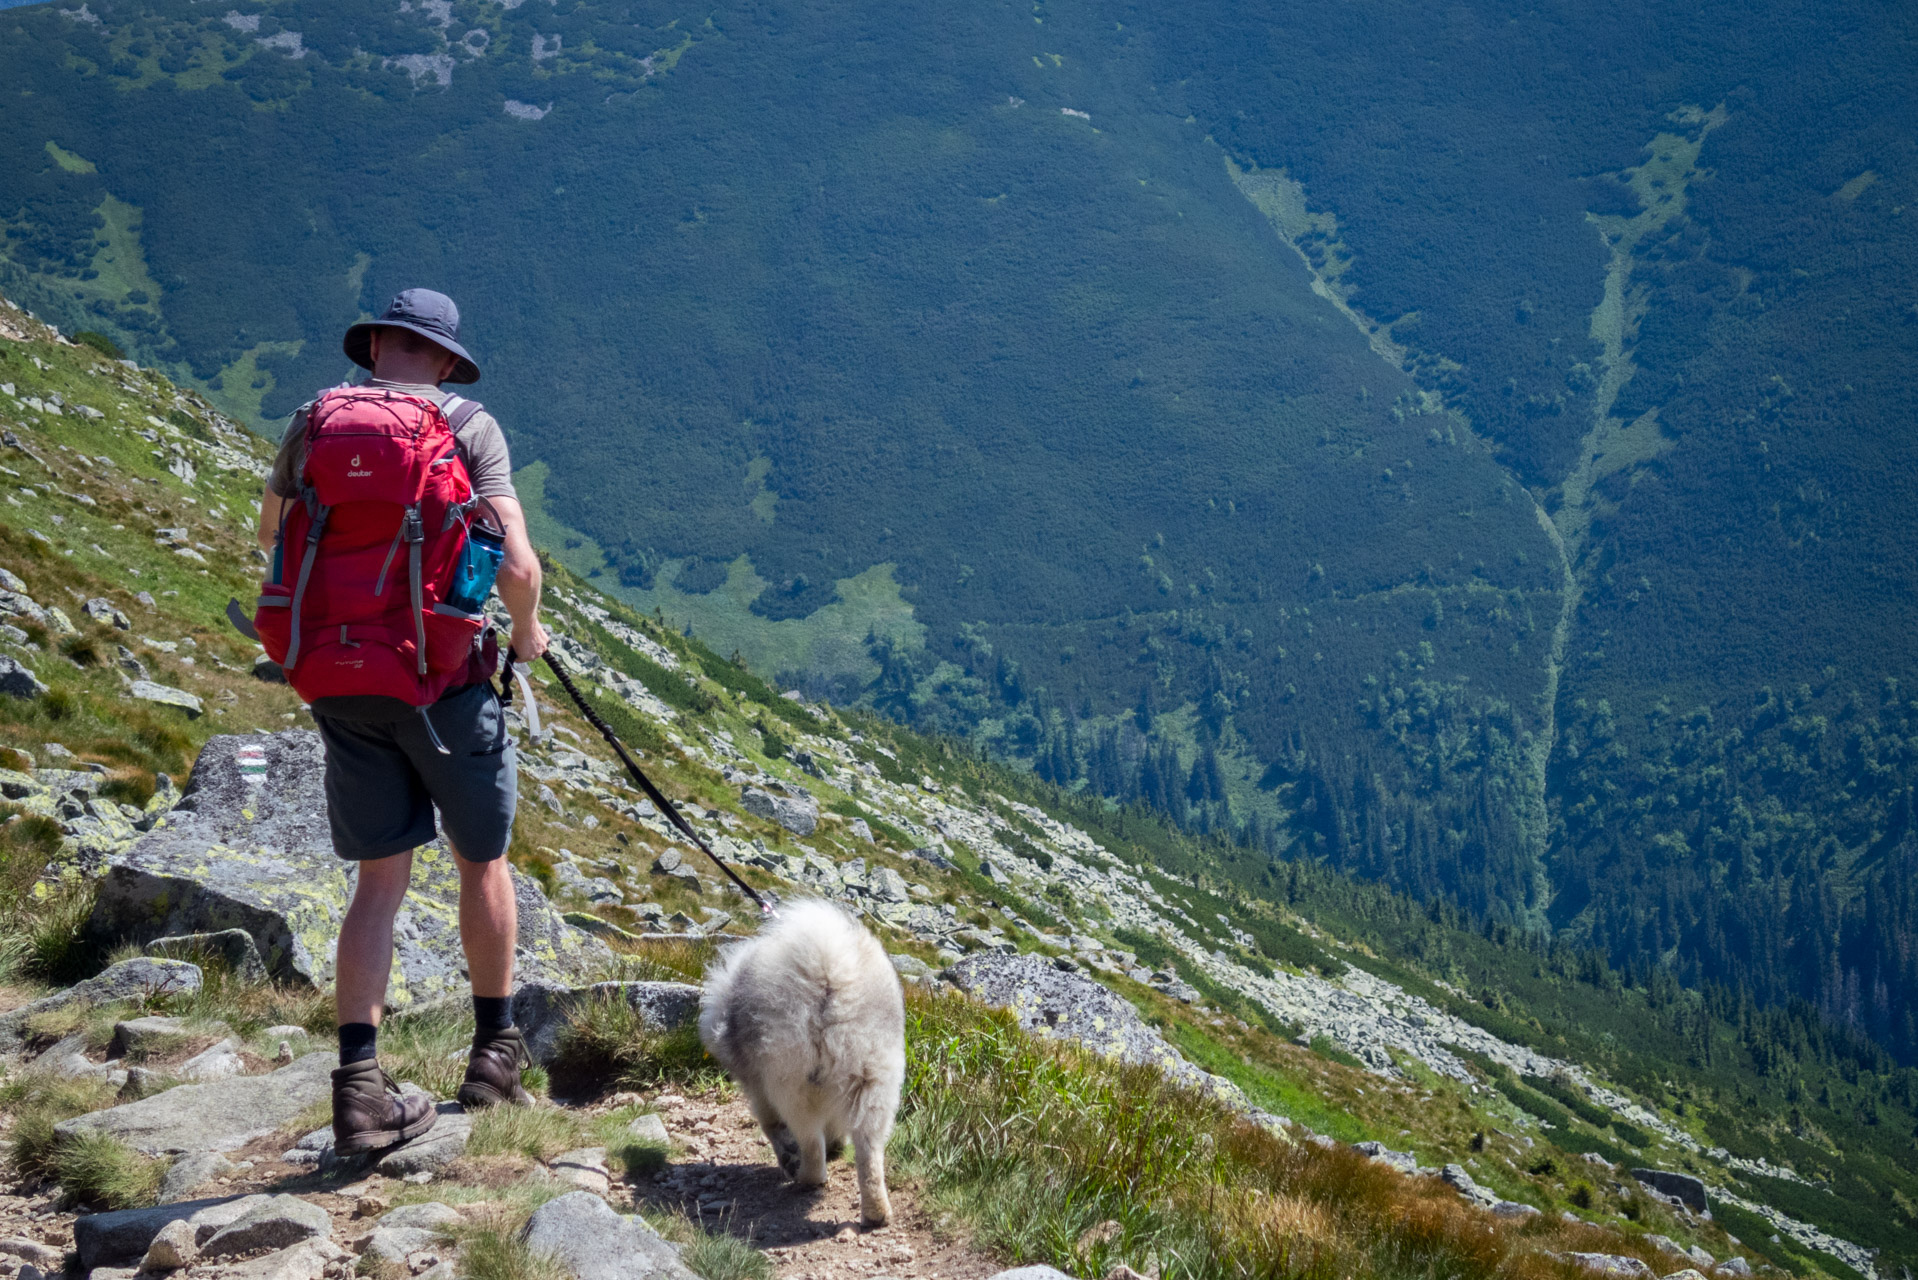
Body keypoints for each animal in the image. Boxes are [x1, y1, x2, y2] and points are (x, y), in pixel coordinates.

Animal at [701, 898, 909, 1228]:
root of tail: (827, 971)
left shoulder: (758, 1090)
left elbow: (773, 1127)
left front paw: (788, 1157)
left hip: (790, 1082)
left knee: (810, 1141)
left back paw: (806, 1178)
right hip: (874, 1077)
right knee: (869, 1148)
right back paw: (877, 1212)